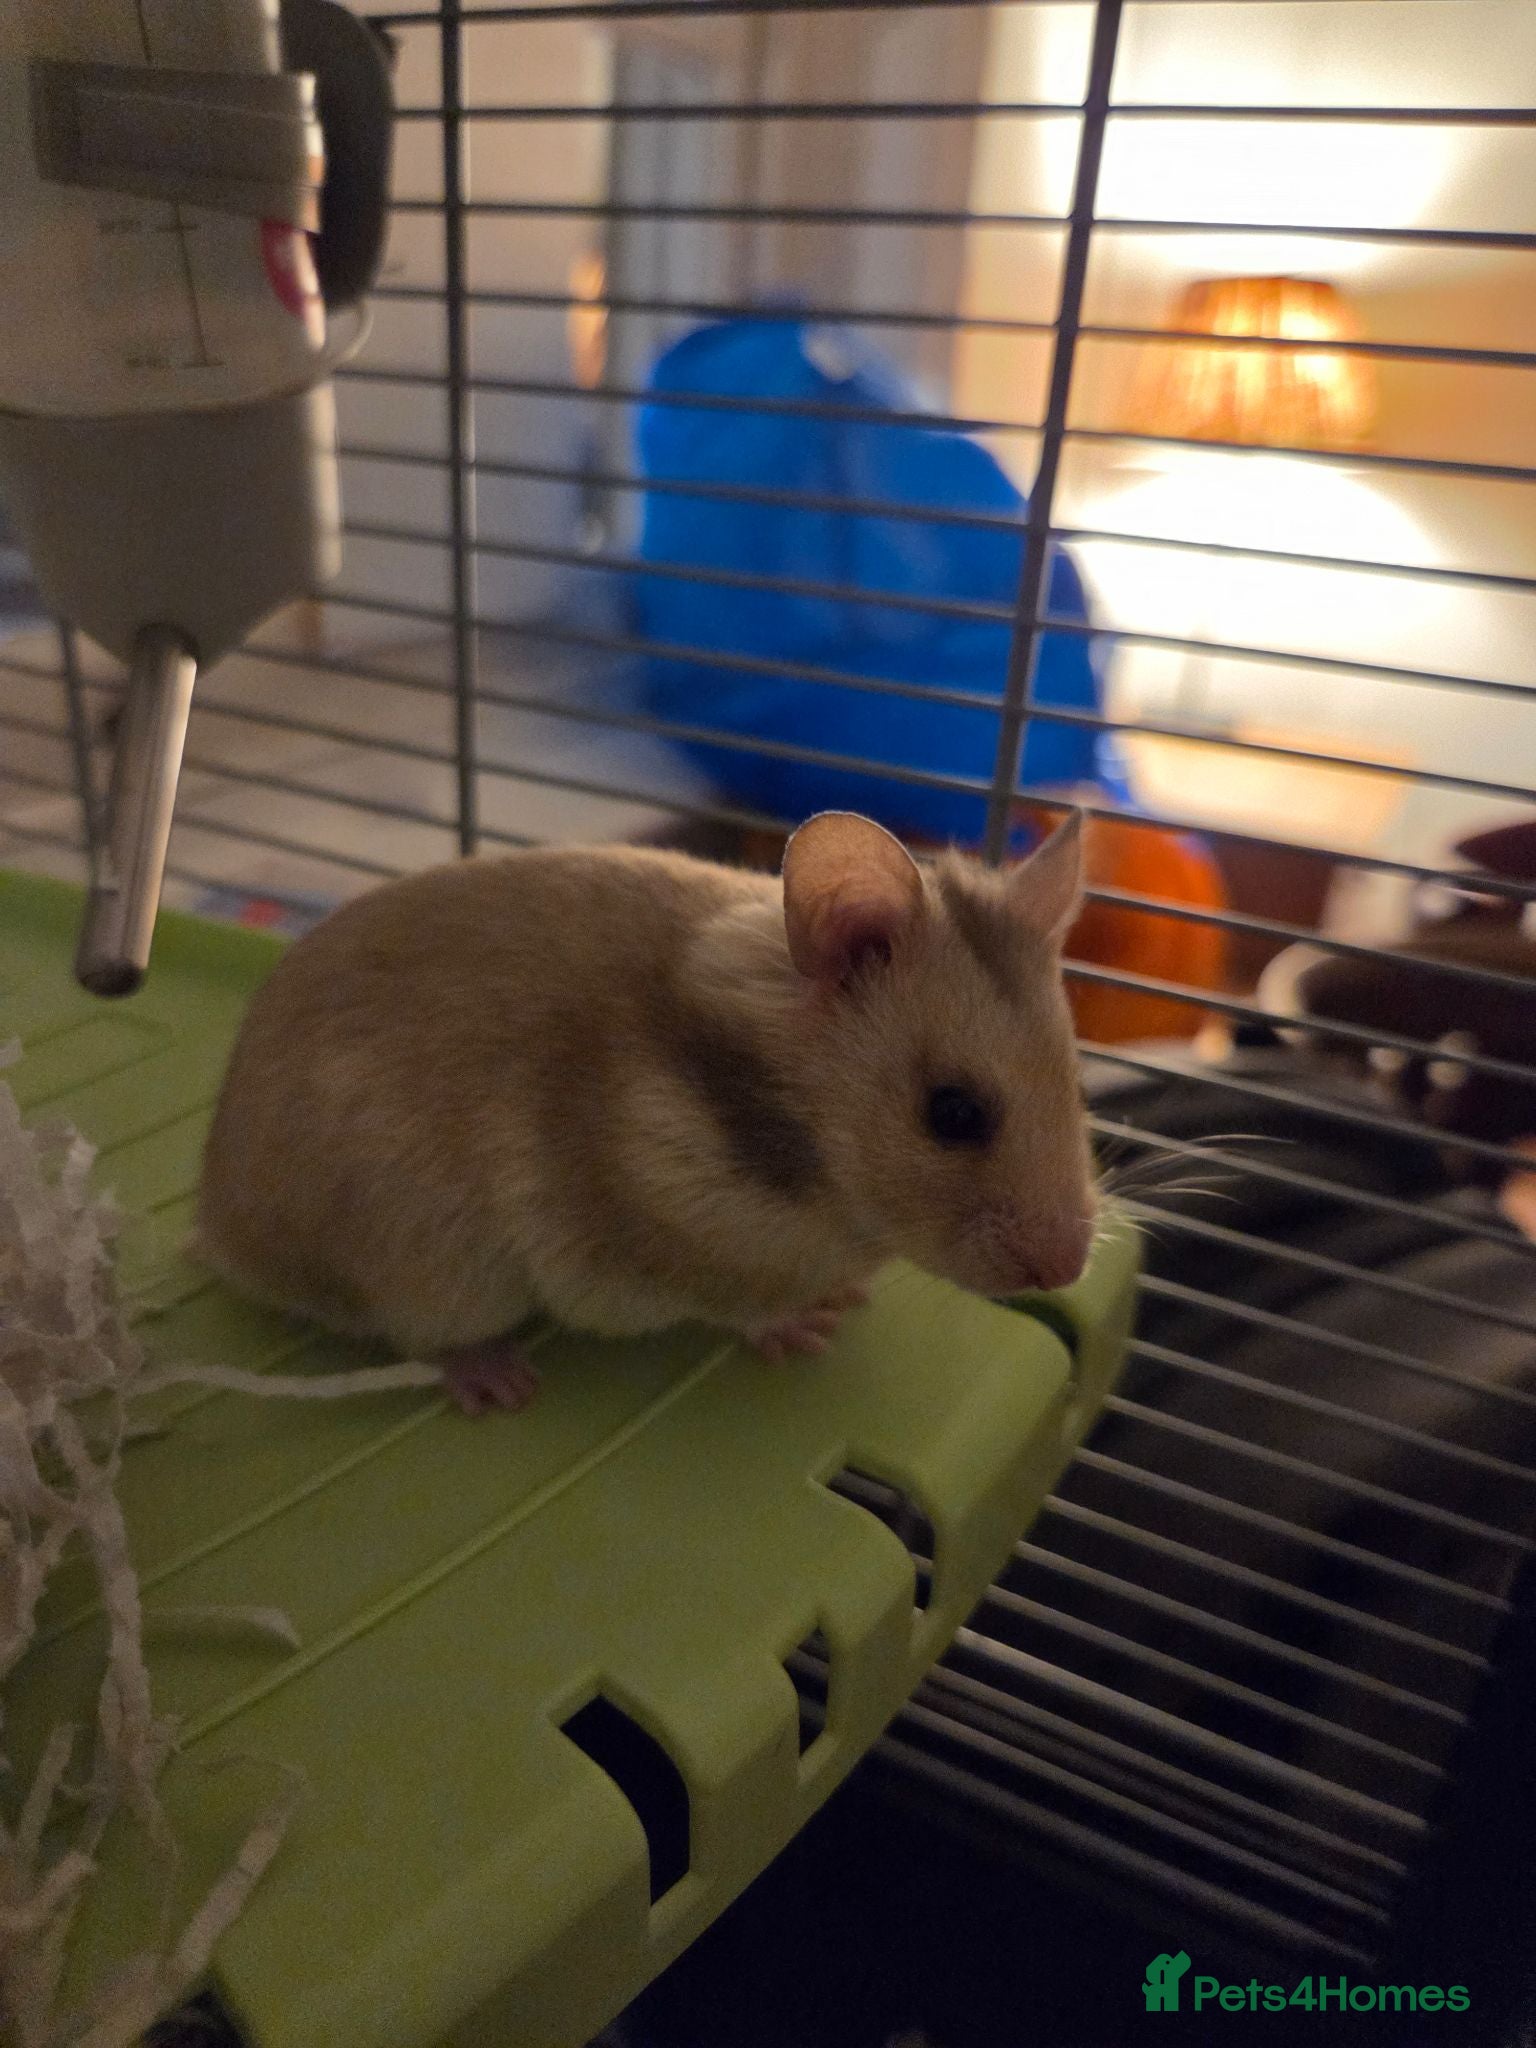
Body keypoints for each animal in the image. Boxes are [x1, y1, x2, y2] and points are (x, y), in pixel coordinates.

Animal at [194, 810, 1096, 1413]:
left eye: (1078, 1085)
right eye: (954, 1113)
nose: (1067, 1270)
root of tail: (220, 1229)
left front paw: (846, 1300)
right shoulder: (674, 1251)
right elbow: (747, 1306)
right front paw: (807, 1328)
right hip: (423, 1263)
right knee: (420, 1335)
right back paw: (501, 1384)